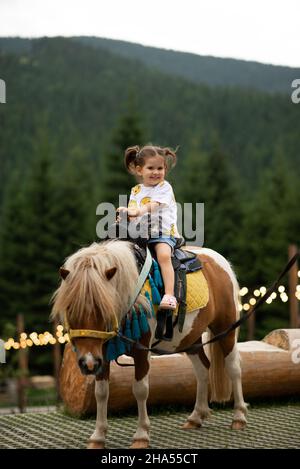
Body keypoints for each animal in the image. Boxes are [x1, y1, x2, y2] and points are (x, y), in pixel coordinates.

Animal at [51, 239, 247, 448]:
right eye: (70, 310)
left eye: (104, 309)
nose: (88, 363)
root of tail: (220, 262)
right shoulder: (101, 353)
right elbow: (101, 392)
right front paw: (98, 437)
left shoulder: (141, 350)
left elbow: (140, 390)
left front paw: (141, 435)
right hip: (192, 338)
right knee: (203, 370)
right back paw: (196, 417)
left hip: (226, 328)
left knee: (234, 368)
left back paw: (239, 416)